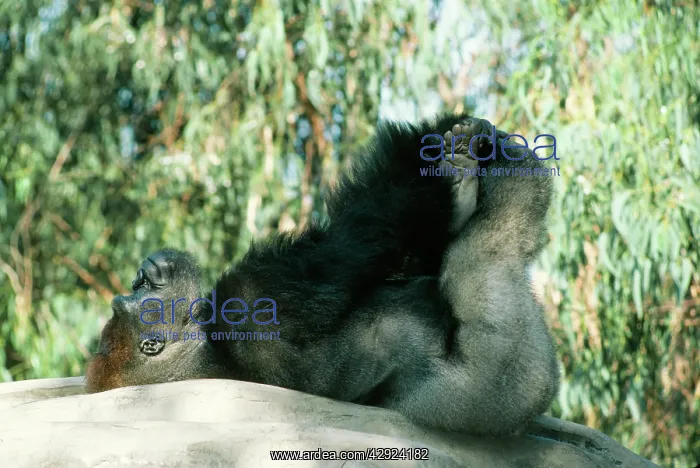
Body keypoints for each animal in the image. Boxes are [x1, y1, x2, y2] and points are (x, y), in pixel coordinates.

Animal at [86, 114, 560, 436]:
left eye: (137, 288)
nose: (146, 271)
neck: (210, 351)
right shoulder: (253, 297)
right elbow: (357, 239)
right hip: (500, 386)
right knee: (493, 251)